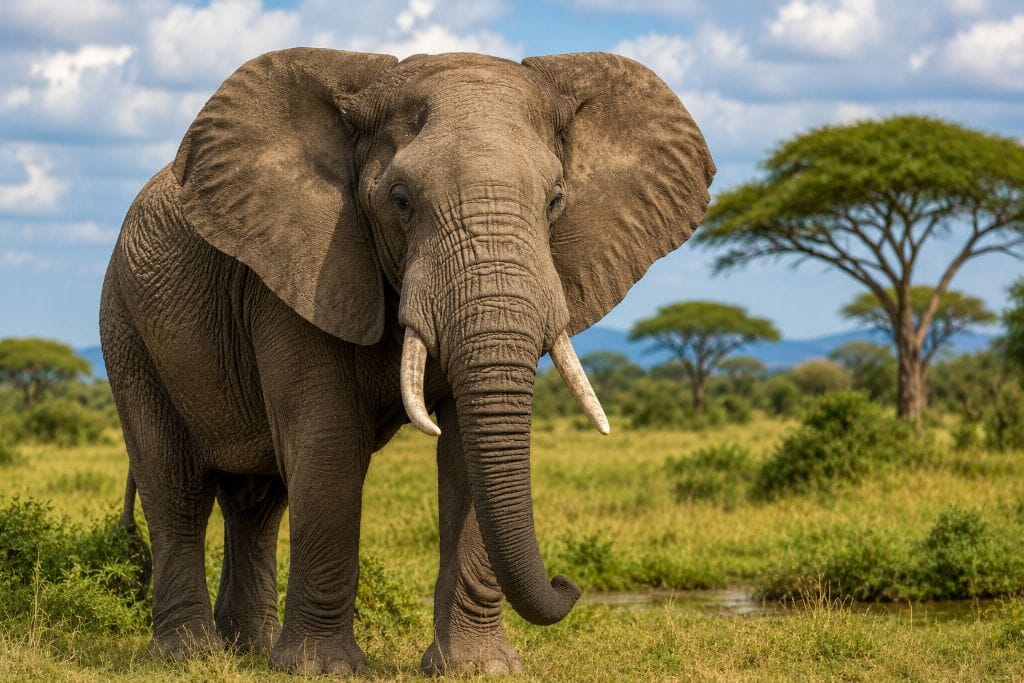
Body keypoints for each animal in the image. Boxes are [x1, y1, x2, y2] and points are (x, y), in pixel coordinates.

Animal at [99, 48, 714, 675]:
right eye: (400, 200)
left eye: (555, 201)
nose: (569, 584)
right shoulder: (297, 276)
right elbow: (328, 444)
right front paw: (321, 671)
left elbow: (465, 452)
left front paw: (478, 669)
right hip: (126, 327)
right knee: (177, 488)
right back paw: (188, 656)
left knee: (257, 503)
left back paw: (248, 649)